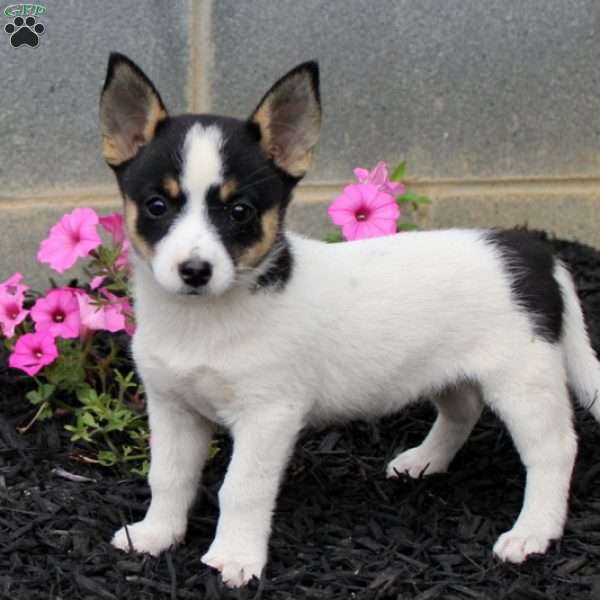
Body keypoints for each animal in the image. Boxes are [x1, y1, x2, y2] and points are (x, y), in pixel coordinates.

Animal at [99, 52, 600, 584]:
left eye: (240, 212)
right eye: (157, 206)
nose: (195, 271)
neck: (202, 320)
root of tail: (537, 253)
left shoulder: (268, 415)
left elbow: (242, 488)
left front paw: (235, 556)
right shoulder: (173, 408)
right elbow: (168, 476)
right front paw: (156, 535)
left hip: (524, 383)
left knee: (554, 450)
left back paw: (533, 533)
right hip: (450, 371)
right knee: (462, 411)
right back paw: (425, 460)